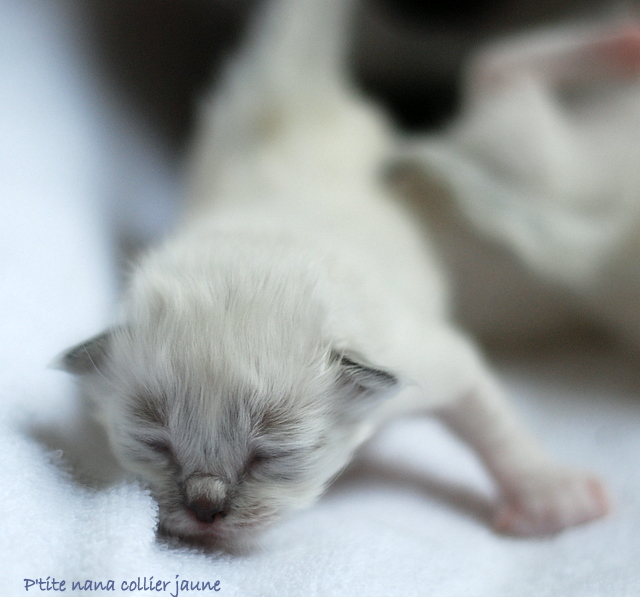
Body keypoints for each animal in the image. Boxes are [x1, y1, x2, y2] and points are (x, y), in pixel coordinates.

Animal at [58, 0, 608, 548]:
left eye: (272, 453)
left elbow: (495, 428)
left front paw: (553, 500)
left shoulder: (434, 361)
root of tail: (289, 103)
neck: (269, 242)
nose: (205, 509)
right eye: (156, 444)